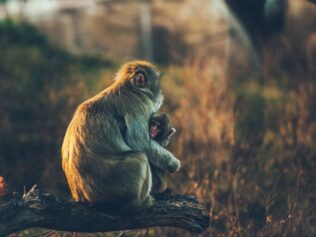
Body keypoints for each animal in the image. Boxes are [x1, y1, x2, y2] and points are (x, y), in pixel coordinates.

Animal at [61, 60, 180, 210]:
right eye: (157, 83)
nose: (161, 93)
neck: (131, 88)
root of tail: (85, 199)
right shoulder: (137, 104)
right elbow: (140, 143)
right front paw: (173, 163)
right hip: (116, 189)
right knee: (140, 158)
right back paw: (140, 203)